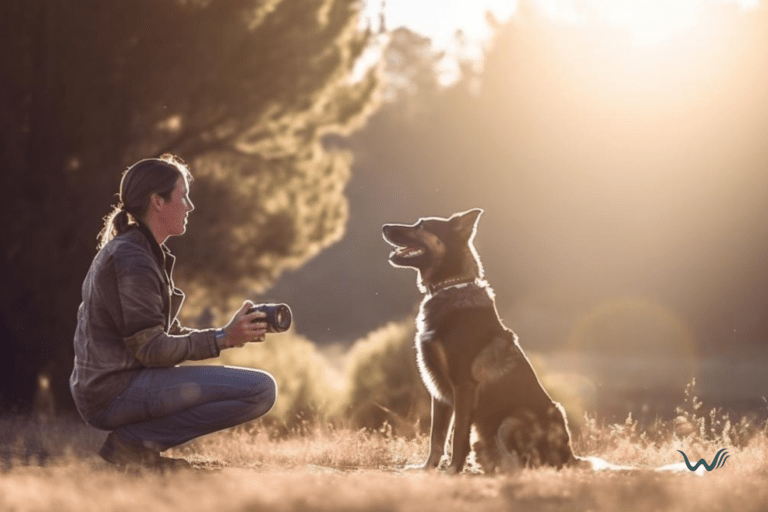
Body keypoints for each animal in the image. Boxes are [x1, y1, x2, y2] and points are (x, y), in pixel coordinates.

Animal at [380, 210, 572, 474]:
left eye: (421, 225)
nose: (384, 227)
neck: (450, 286)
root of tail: (571, 456)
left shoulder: (464, 385)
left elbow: (458, 434)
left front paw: (452, 470)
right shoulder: (439, 393)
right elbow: (436, 438)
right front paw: (427, 469)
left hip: (512, 419)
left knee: (533, 463)